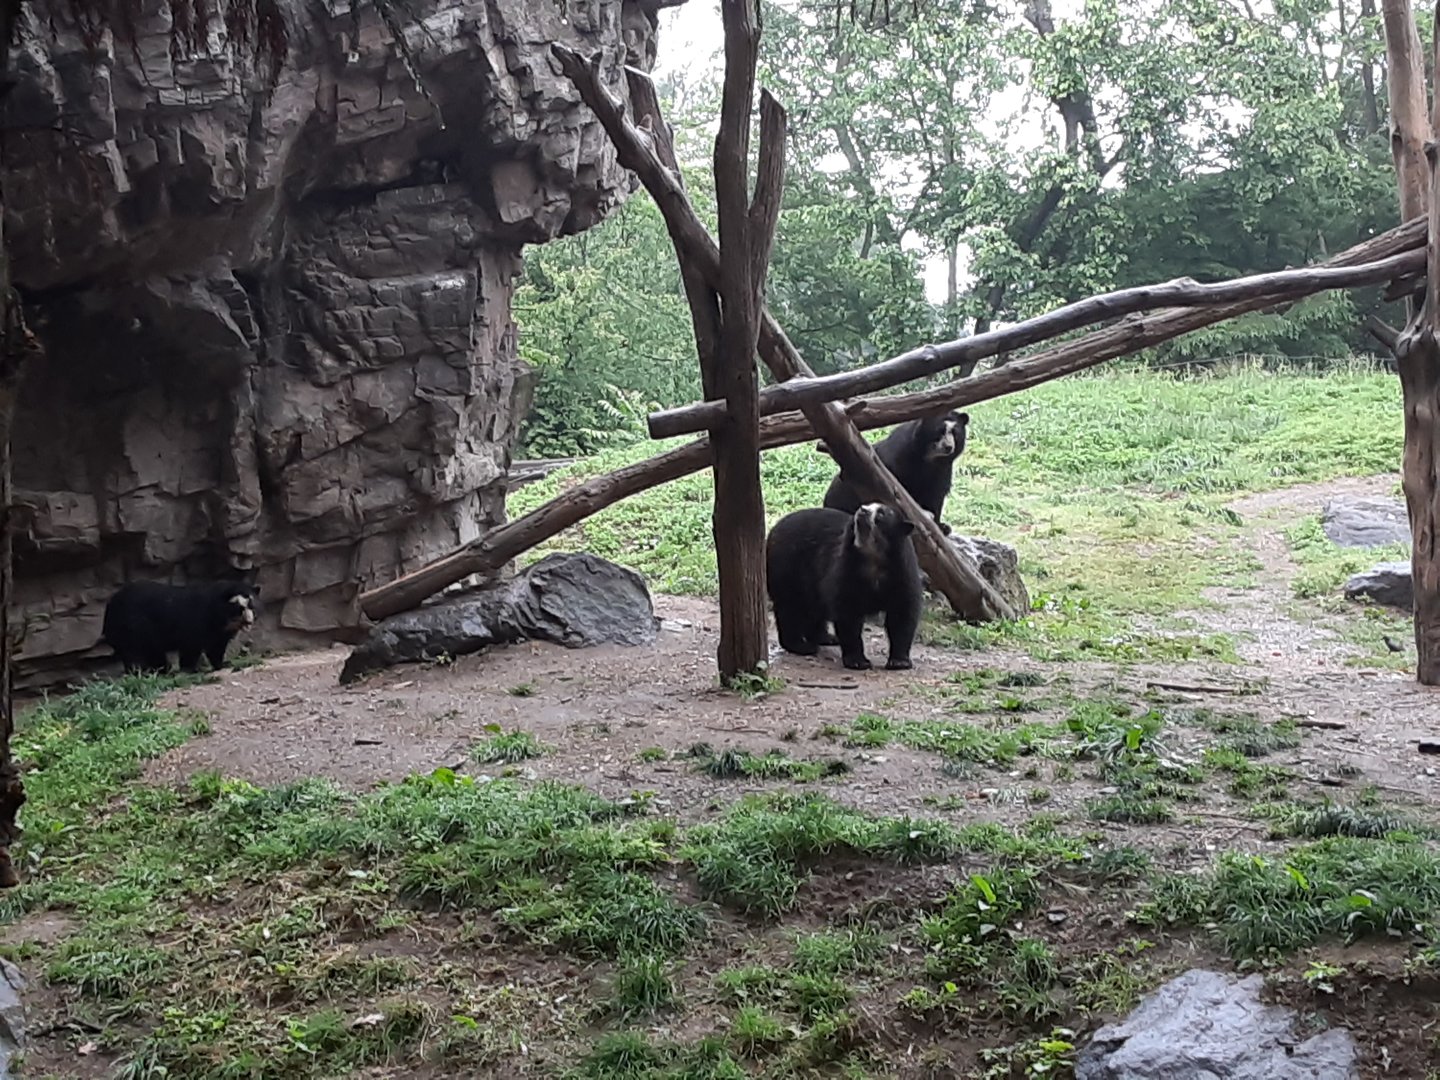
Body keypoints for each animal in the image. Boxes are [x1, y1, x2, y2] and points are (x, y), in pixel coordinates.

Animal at [102, 580, 259, 674]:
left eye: (252, 607)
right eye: (239, 609)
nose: (250, 622)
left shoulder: (219, 633)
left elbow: (216, 648)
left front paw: (223, 664)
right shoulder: (196, 623)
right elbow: (191, 647)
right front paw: (190, 669)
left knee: (154, 653)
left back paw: (162, 670)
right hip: (132, 627)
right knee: (134, 652)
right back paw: (139, 672)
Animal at [765, 502, 923, 671]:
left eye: (881, 513)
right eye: (868, 506)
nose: (862, 510)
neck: (874, 557)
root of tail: (774, 528)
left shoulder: (902, 573)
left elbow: (902, 614)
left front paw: (899, 662)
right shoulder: (846, 570)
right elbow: (848, 614)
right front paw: (858, 661)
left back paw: (826, 637)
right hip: (788, 568)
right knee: (790, 607)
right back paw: (801, 646)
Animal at [820, 410, 969, 535]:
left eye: (955, 433)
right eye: (940, 431)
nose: (948, 447)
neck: (930, 459)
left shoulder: (942, 469)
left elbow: (936, 494)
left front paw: (942, 526)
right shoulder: (900, 457)